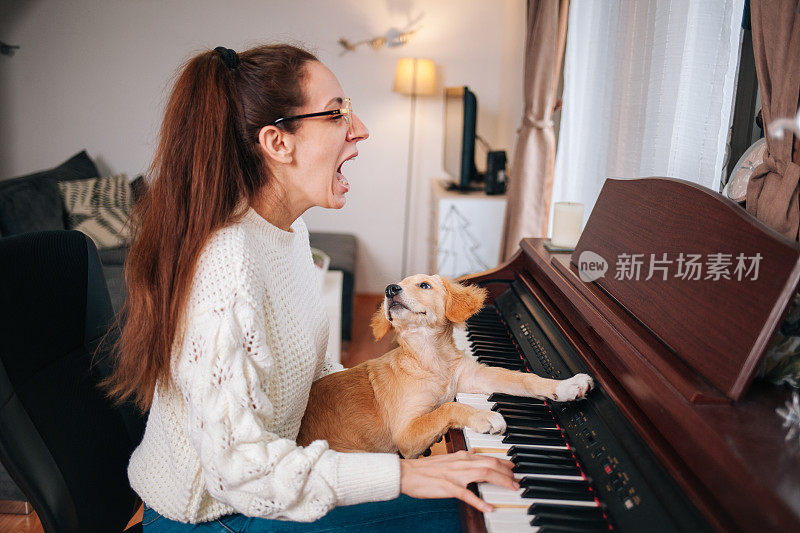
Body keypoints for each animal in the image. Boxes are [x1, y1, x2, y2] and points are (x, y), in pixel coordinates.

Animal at [298, 274, 592, 458]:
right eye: (393, 286)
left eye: (424, 285)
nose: (390, 289)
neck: (430, 360)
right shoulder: (405, 433)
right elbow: (449, 407)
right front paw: (485, 416)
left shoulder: (474, 376)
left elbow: (524, 379)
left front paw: (567, 386)